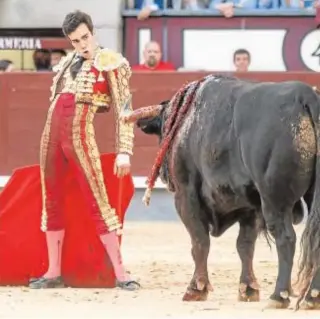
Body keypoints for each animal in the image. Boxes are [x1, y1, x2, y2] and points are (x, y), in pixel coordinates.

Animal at [134, 75, 320, 310]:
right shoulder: (251, 206)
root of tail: (305, 96)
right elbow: (245, 245)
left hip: (274, 199)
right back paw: (312, 297)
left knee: (285, 238)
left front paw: (196, 289)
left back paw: (279, 296)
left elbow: (200, 242)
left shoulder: (186, 195)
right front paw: (248, 289)